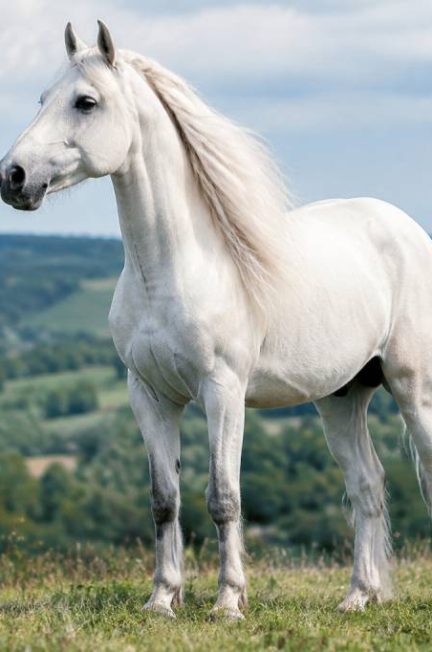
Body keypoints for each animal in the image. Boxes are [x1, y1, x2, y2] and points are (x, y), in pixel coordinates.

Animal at [1, 20, 432, 619]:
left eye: (86, 102)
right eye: (42, 99)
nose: (14, 177)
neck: (171, 270)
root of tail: (404, 227)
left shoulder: (222, 392)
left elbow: (223, 497)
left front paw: (228, 601)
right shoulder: (149, 395)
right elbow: (164, 499)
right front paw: (162, 599)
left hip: (413, 389)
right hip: (342, 398)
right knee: (368, 486)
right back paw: (357, 598)